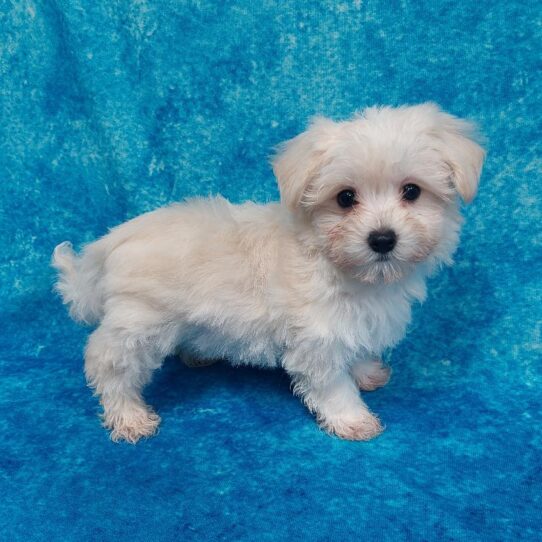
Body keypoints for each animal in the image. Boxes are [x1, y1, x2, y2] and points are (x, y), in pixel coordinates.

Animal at [51, 103, 486, 446]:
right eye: (345, 198)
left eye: (412, 191)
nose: (382, 239)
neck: (333, 261)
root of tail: (114, 239)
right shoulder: (317, 341)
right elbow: (332, 385)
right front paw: (353, 419)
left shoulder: (353, 324)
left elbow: (356, 349)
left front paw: (366, 372)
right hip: (138, 324)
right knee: (108, 365)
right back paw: (129, 415)